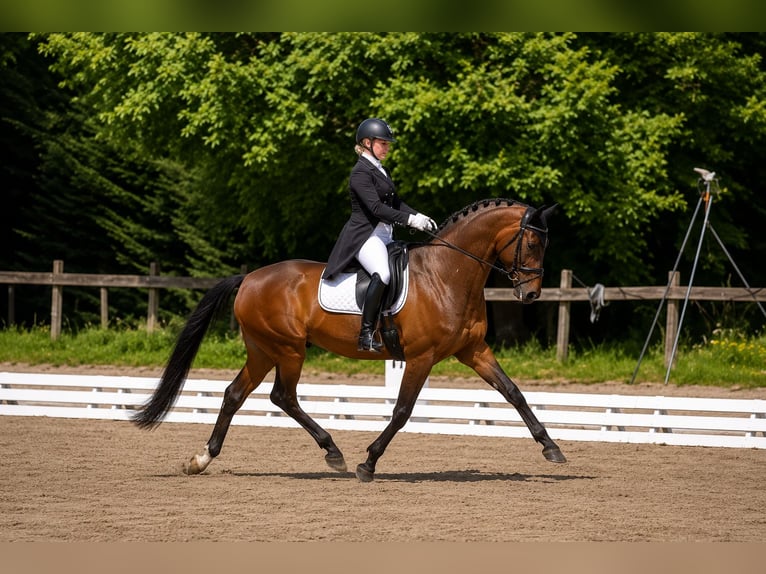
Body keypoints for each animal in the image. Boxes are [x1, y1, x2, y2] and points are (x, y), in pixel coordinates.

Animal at [132, 198, 567, 481]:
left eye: (546, 243)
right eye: (532, 242)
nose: (531, 295)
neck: (447, 274)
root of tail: (249, 278)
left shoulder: (473, 351)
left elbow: (514, 393)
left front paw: (551, 448)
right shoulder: (421, 357)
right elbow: (402, 411)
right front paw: (368, 463)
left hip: (263, 350)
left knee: (235, 394)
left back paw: (202, 459)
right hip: (288, 349)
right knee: (282, 396)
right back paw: (334, 454)